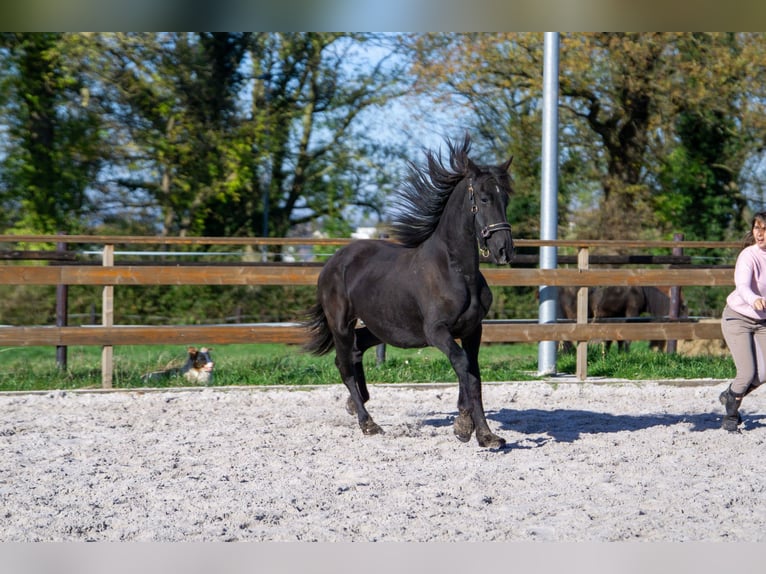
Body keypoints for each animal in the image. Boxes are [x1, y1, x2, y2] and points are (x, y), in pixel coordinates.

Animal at [304, 136, 512, 450]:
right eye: (485, 198)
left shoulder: (473, 329)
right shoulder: (437, 332)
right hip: (341, 324)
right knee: (343, 364)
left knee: (356, 349)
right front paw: (477, 431)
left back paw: (356, 404)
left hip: (380, 326)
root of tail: (332, 262)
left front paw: (472, 429)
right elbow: (465, 368)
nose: (504, 250)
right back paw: (367, 422)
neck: (454, 271)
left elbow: (472, 372)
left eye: (506, 199)